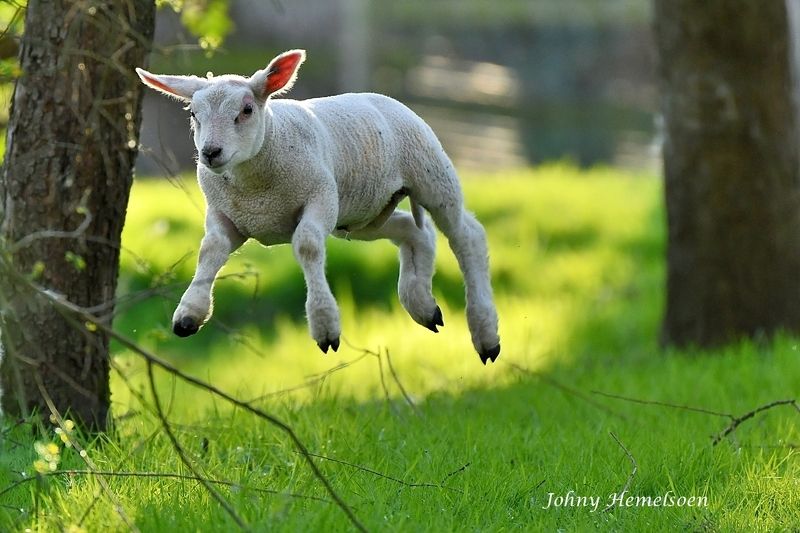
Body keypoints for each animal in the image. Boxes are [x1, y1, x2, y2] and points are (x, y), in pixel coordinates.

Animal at [136, 49, 501, 364]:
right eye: (193, 114)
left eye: (247, 110)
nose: (211, 152)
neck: (256, 187)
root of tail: (383, 98)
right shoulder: (224, 214)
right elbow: (209, 250)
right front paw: (188, 314)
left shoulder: (321, 198)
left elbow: (308, 245)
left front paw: (325, 324)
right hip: (363, 213)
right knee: (414, 231)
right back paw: (423, 306)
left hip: (430, 172)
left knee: (466, 235)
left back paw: (485, 333)